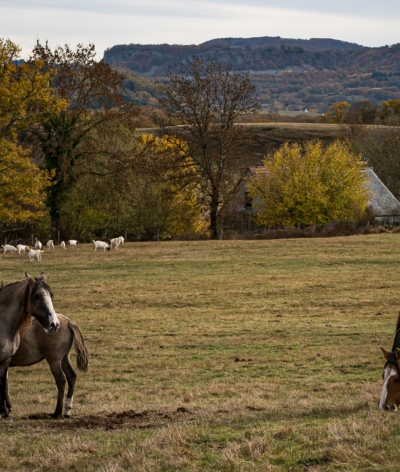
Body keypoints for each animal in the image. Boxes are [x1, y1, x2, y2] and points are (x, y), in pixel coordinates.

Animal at [0, 272, 60, 418]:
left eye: (51, 295)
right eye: (37, 296)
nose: (54, 324)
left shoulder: (5, 360)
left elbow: (3, 383)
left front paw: (5, 412)